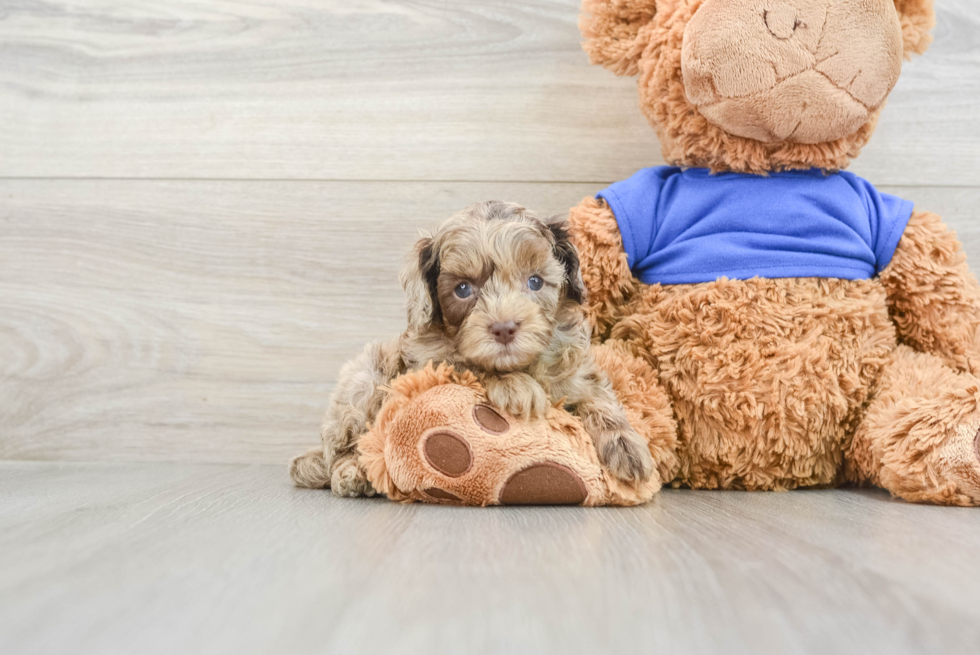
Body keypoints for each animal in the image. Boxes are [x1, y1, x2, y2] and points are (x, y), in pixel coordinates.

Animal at [294, 200, 656, 498]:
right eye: (463, 289)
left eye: (535, 282)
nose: (504, 328)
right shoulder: (427, 363)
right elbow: (469, 364)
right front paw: (517, 387)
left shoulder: (577, 370)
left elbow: (598, 398)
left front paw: (629, 448)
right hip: (363, 380)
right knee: (343, 448)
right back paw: (352, 473)